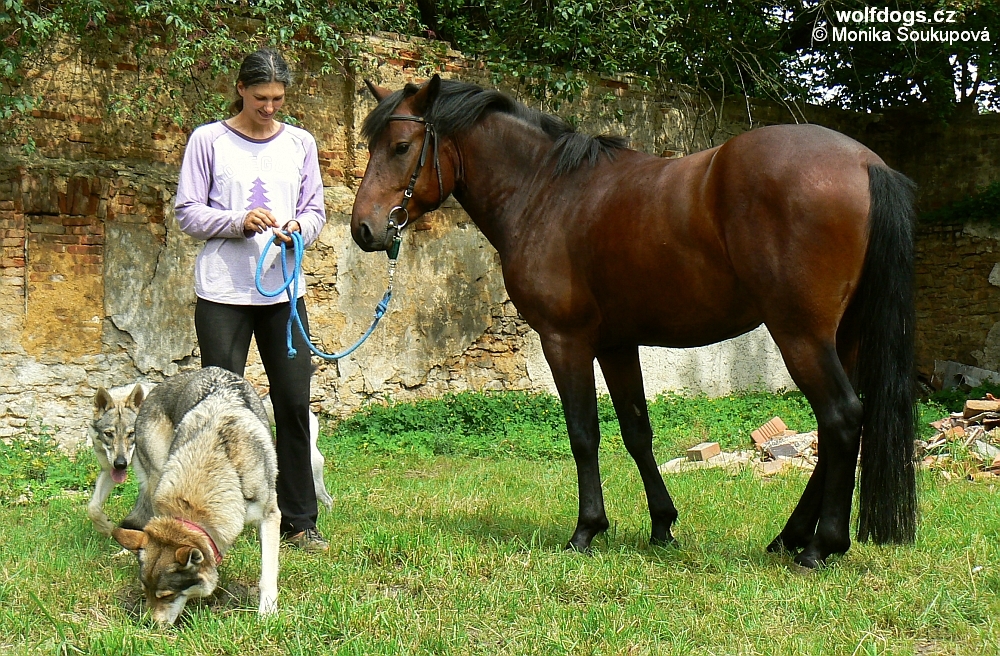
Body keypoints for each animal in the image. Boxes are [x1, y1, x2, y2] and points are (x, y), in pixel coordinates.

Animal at [350, 74, 916, 568]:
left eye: (400, 146)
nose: (364, 229)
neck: (545, 191)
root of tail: (865, 163)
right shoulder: (616, 344)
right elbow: (637, 431)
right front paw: (662, 525)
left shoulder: (565, 340)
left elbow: (583, 433)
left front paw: (586, 530)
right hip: (841, 338)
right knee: (837, 427)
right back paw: (789, 537)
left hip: (800, 335)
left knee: (841, 418)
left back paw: (819, 547)